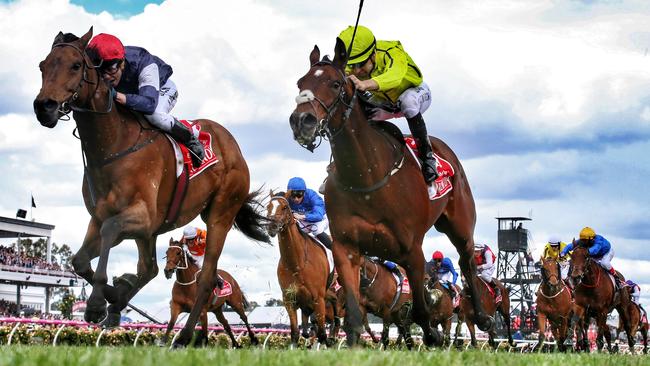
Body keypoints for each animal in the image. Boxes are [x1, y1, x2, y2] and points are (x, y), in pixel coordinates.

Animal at [34, 27, 268, 348]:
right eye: (43, 65)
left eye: (75, 65)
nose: (44, 107)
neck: (112, 146)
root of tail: (232, 144)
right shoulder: (103, 218)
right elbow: (80, 260)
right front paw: (115, 295)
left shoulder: (140, 217)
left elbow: (109, 235)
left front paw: (96, 304)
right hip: (154, 231)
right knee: (150, 267)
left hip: (220, 213)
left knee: (206, 277)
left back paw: (184, 336)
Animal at [264, 192, 332, 346]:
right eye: (268, 206)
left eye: (284, 207)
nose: (272, 226)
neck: (297, 264)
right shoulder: (289, 299)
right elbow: (295, 333)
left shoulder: (319, 299)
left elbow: (322, 334)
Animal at [288, 38, 486, 348]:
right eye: (300, 82)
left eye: (335, 83)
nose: (302, 121)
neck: (366, 175)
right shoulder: (346, 248)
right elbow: (353, 313)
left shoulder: (412, 251)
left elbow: (420, 311)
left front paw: (433, 336)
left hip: (460, 226)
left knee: (467, 262)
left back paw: (483, 317)